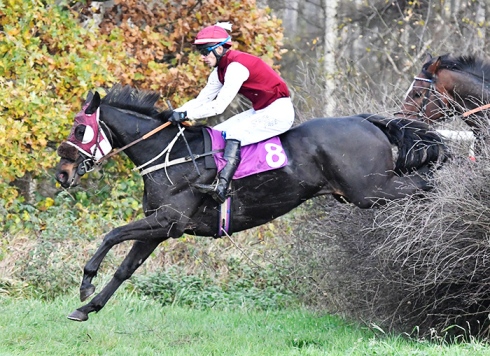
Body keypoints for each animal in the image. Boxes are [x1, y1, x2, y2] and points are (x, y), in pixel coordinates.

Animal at [55, 85, 446, 322]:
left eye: (79, 129)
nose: (62, 174)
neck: (169, 154)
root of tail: (364, 120)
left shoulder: (168, 220)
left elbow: (111, 234)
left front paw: (86, 282)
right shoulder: (162, 227)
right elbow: (125, 269)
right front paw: (87, 307)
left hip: (369, 191)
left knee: (427, 184)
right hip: (369, 191)